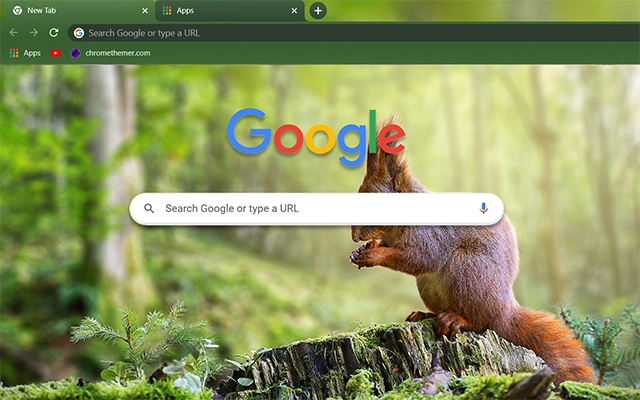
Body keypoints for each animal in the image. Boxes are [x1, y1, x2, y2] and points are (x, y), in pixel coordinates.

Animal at [349, 120, 596, 386]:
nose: (354, 235)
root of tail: (505, 311)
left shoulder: (431, 236)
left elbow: (420, 258)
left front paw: (373, 256)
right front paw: (362, 250)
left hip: (468, 270)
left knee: (482, 322)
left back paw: (457, 319)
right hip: (431, 285)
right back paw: (424, 314)